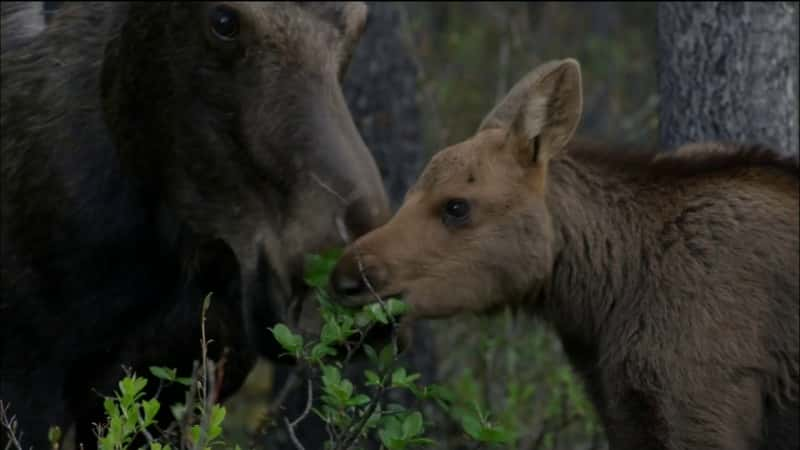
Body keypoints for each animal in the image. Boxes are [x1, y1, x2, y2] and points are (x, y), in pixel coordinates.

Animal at [328, 59, 796, 450]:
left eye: (456, 206)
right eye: (408, 194)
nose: (346, 278)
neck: (604, 300)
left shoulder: (699, 405)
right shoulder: (622, 414)